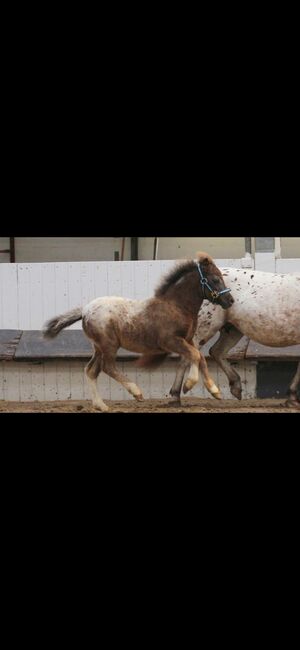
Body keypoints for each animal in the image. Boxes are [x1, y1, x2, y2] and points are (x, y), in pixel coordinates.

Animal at [43, 252, 233, 410]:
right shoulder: (170, 341)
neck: (177, 307)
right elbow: (195, 355)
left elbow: (200, 357)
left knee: (91, 370)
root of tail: (84, 310)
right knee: (108, 367)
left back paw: (101, 406)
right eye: (215, 279)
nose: (230, 300)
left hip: (98, 348)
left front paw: (215, 390)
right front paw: (189, 384)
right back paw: (136, 392)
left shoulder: (187, 340)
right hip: (109, 345)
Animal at [169, 264, 300, 404]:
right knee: (188, 355)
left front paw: (292, 396)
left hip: (232, 330)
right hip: (205, 328)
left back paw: (235, 386)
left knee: (216, 351)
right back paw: (177, 395)